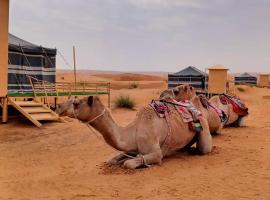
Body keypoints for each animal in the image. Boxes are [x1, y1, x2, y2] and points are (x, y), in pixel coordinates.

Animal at [56, 95, 213, 169]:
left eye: (76, 103)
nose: (56, 106)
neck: (134, 130)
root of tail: (196, 107)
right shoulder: (132, 147)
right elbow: (113, 160)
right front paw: (121, 159)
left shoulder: (156, 153)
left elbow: (129, 163)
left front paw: (130, 161)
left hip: (203, 125)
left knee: (204, 148)